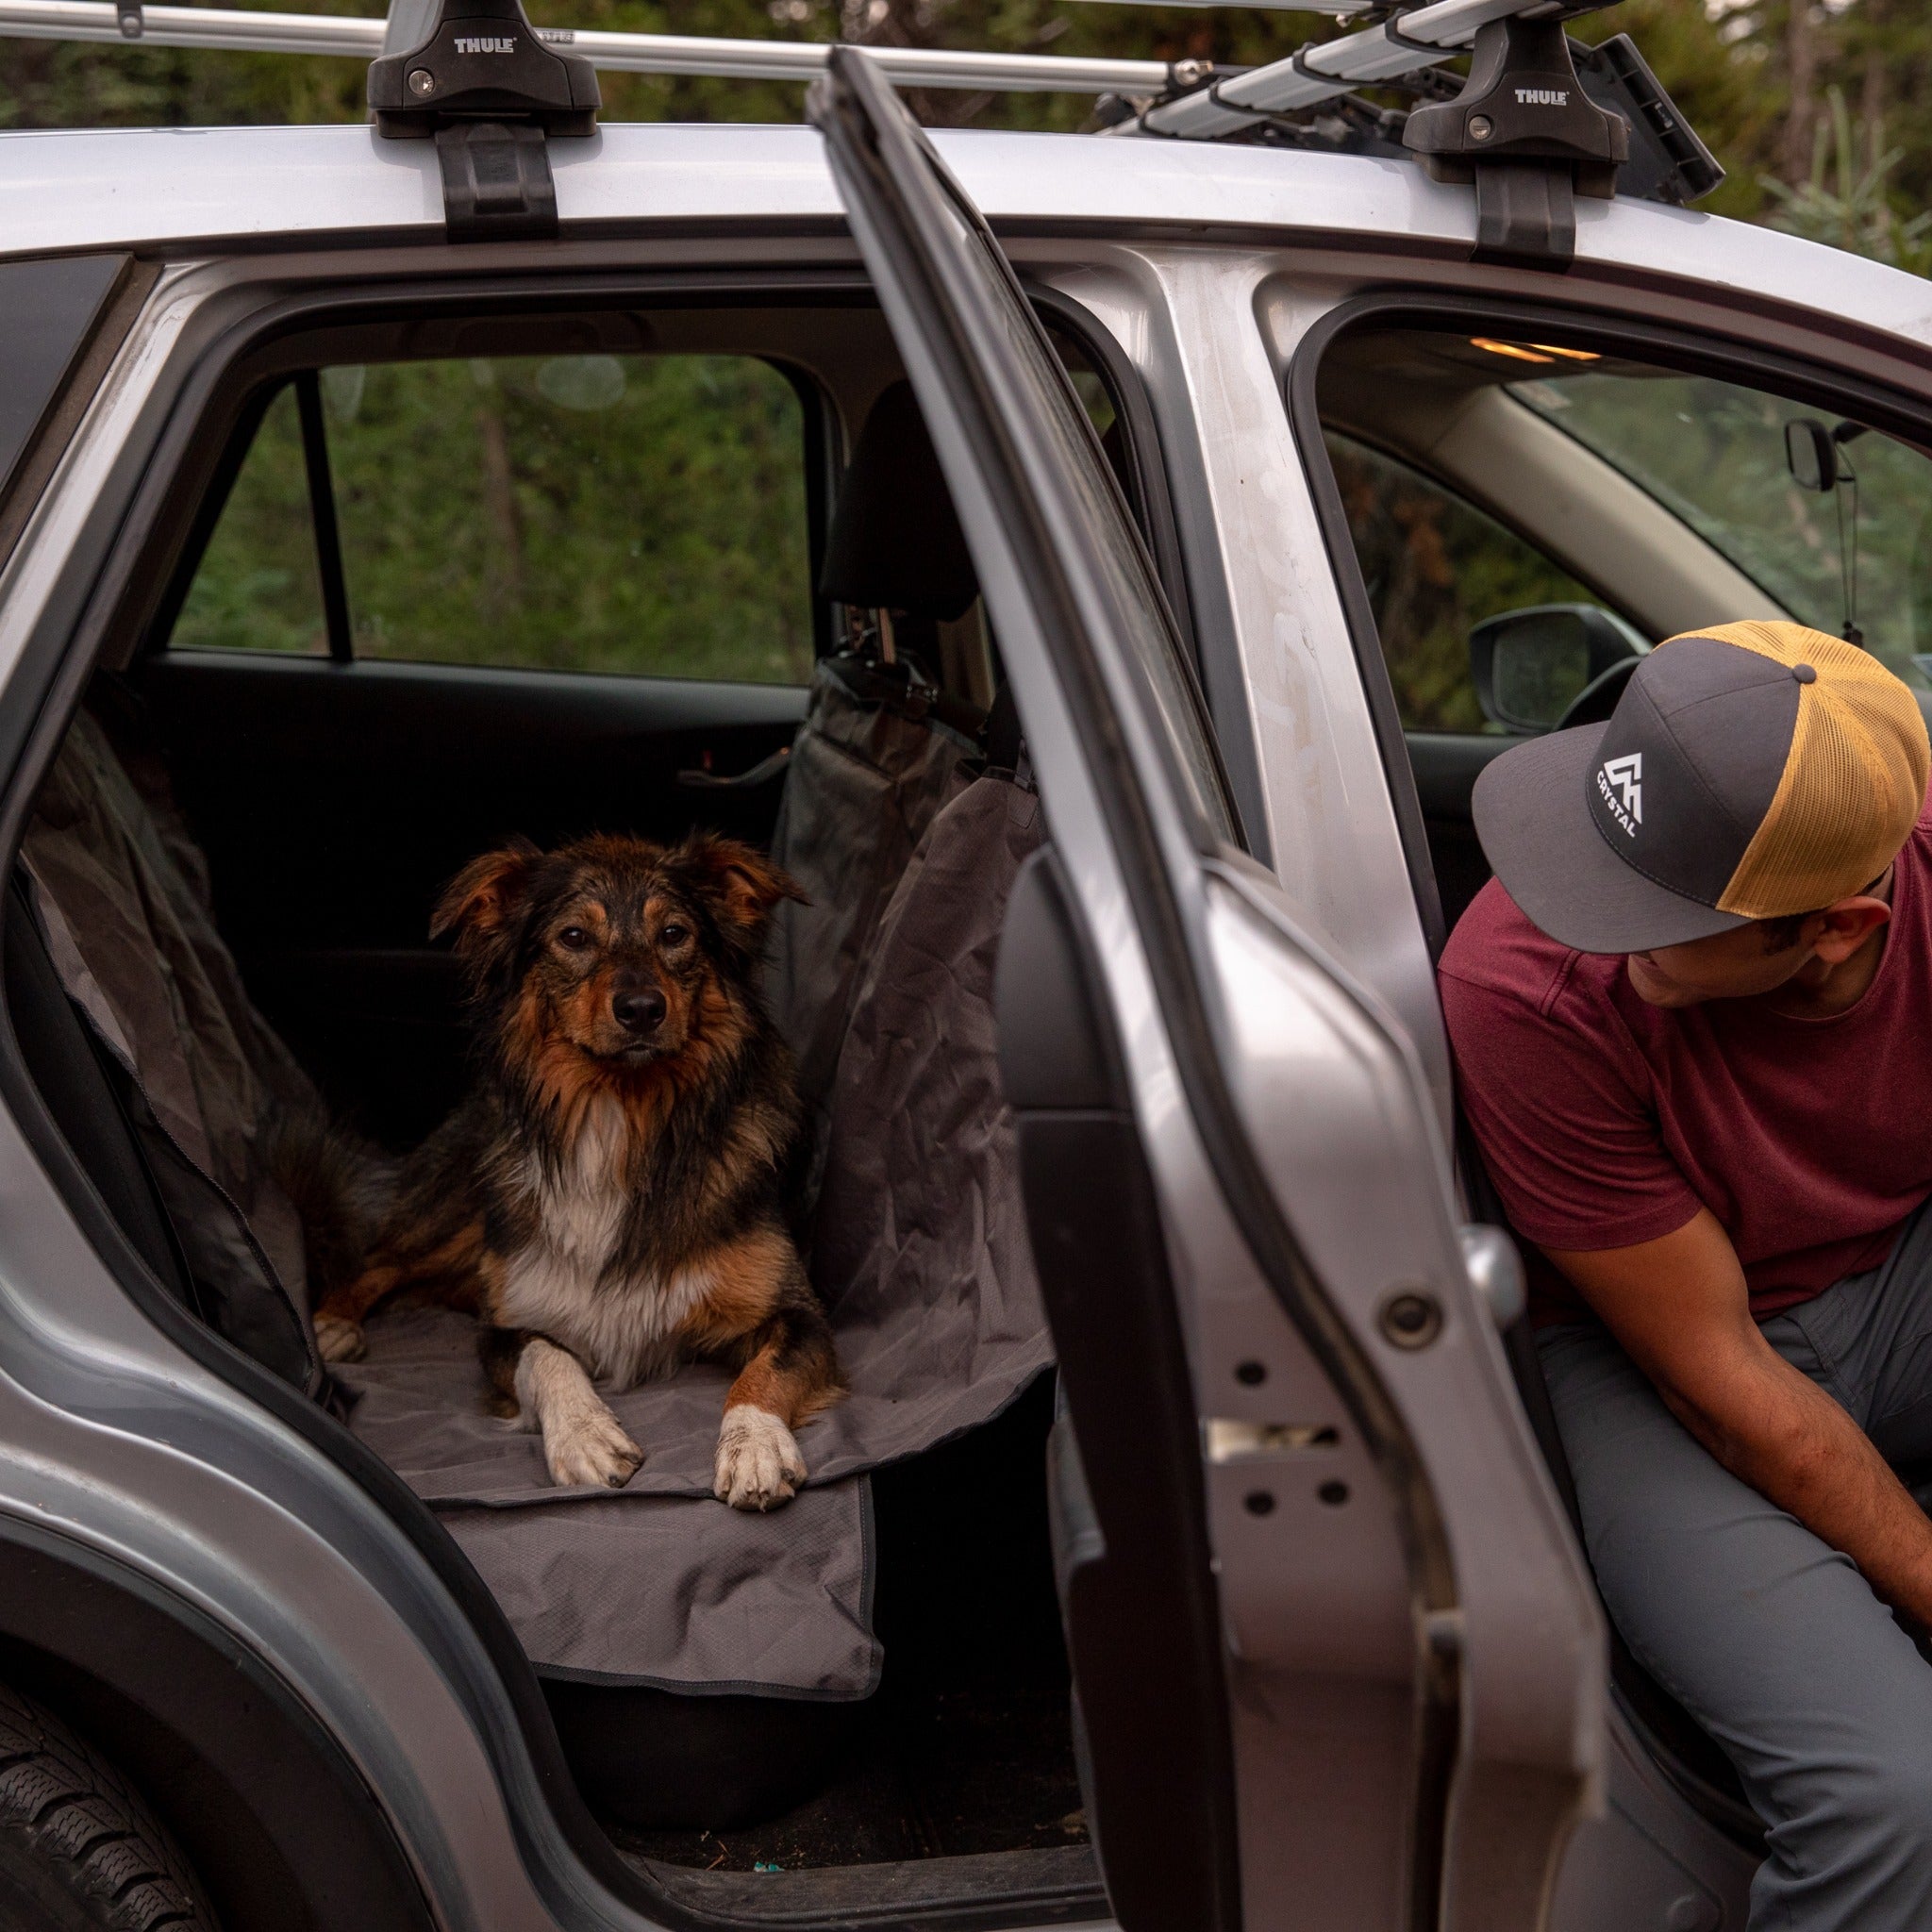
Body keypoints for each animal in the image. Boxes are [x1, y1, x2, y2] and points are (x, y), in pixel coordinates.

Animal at [312, 830, 841, 1507]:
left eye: (674, 933)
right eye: (573, 937)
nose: (641, 1009)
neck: (623, 1116)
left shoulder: (799, 1311)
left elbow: (766, 1369)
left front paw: (754, 1444)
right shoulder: (505, 1321)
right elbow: (545, 1353)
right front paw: (585, 1435)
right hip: (463, 1213)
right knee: (381, 1260)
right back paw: (332, 1323)